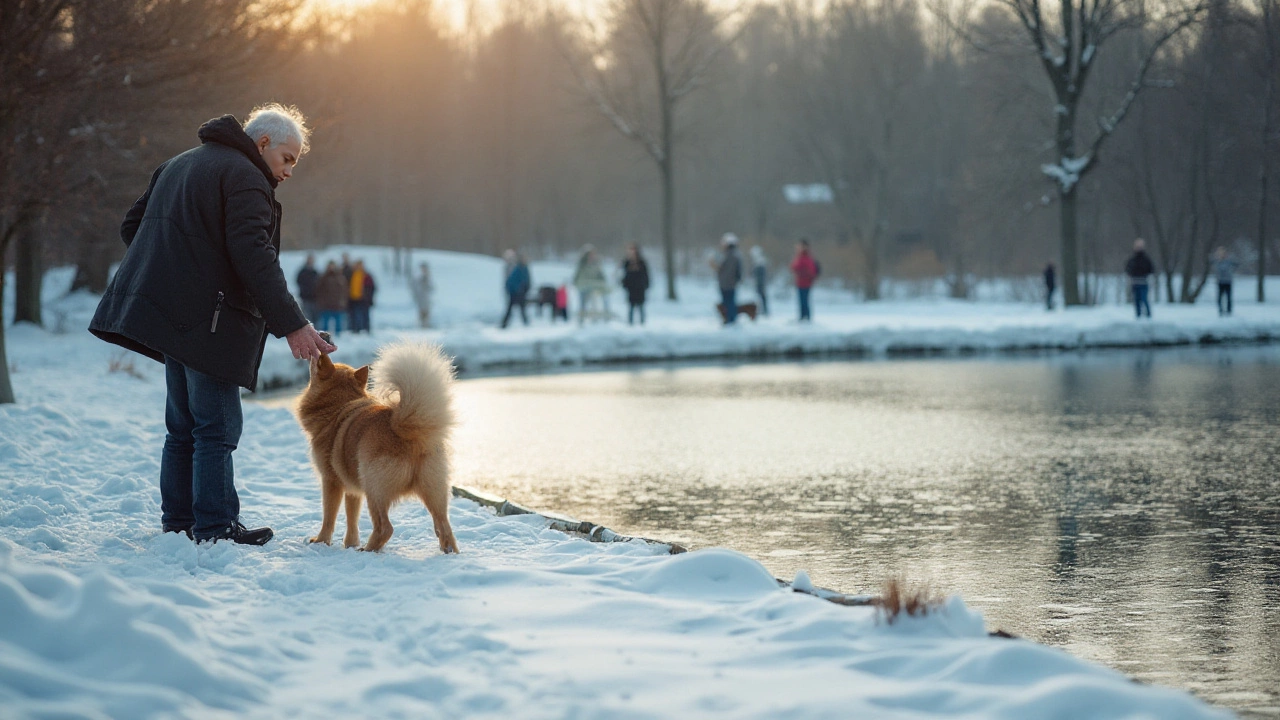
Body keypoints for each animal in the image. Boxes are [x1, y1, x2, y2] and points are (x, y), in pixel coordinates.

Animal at [295, 338, 460, 550]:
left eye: (318, 363)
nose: (321, 348)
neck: (338, 405)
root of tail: (404, 431)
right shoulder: (353, 489)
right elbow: (352, 518)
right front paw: (350, 544)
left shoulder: (331, 481)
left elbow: (329, 516)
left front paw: (322, 541)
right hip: (434, 492)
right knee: (444, 526)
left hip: (373, 488)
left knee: (385, 527)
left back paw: (368, 550)